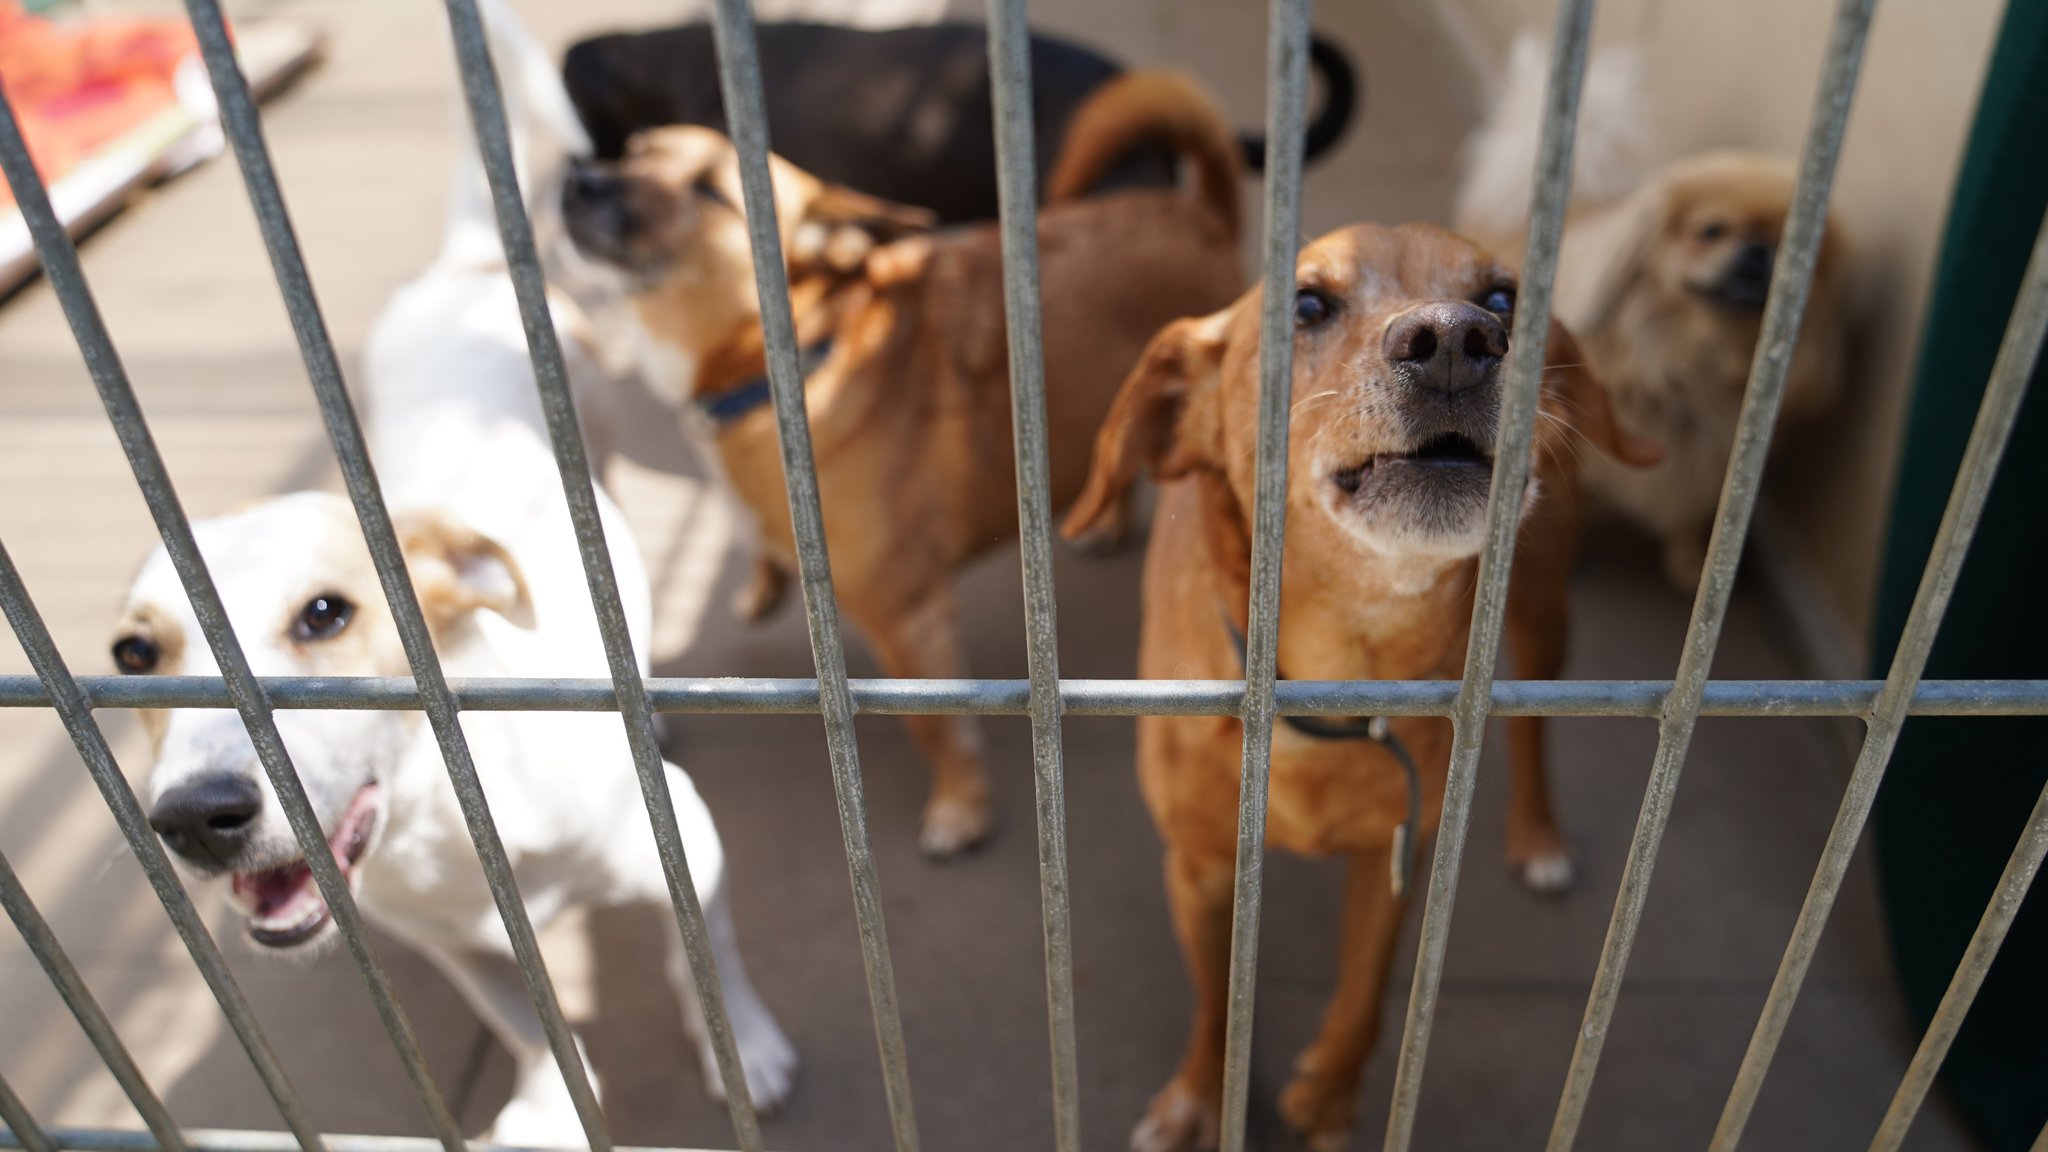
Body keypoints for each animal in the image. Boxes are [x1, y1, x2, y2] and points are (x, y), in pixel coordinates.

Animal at [105, 0, 790, 1131]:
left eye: (326, 615)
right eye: (132, 656)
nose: (195, 818)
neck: (451, 819)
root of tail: (461, 271)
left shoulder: (691, 848)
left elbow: (711, 963)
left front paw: (747, 1048)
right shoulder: (453, 949)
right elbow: (525, 1029)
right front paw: (550, 1108)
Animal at [561, 69, 1253, 844]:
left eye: (711, 192)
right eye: (634, 151)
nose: (580, 179)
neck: (806, 350)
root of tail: (1200, 213)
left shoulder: (906, 619)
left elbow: (935, 726)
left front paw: (962, 807)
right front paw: (762, 583)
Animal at [1064, 219, 1654, 1139]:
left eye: (1502, 298)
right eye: (1306, 304)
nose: (1456, 339)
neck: (1336, 676)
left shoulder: (1393, 859)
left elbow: (1368, 996)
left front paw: (1329, 1097)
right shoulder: (1198, 870)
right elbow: (1215, 999)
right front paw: (1201, 1097)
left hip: (1542, 607)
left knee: (1532, 727)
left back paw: (1539, 837)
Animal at [1458, 35, 1859, 586]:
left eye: (1792, 251)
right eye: (1710, 231)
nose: (1760, 252)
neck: (1688, 359)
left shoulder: (1715, 462)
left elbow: (1696, 514)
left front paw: (1691, 562)